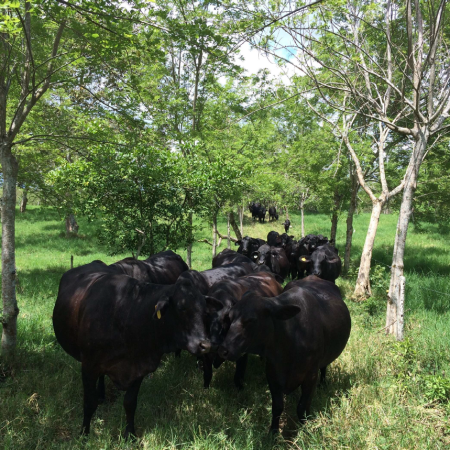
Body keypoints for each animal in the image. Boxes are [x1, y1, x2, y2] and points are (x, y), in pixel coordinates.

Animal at [53, 264, 221, 436]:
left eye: (205, 311)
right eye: (181, 307)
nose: (205, 345)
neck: (127, 314)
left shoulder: (138, 367)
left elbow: (130, 403)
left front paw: (130, 434)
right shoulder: (88, 366)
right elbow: (89, 403)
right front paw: (84, 434)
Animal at [218, 274, 352, 432]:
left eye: (251, 320)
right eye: (230, 318)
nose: (223, 350)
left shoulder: (311, 376)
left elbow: (302, 407)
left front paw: (305, 429)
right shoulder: (272, 374)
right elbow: (277, 407)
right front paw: (273, 432)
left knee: (324, 367)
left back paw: (323, 384)